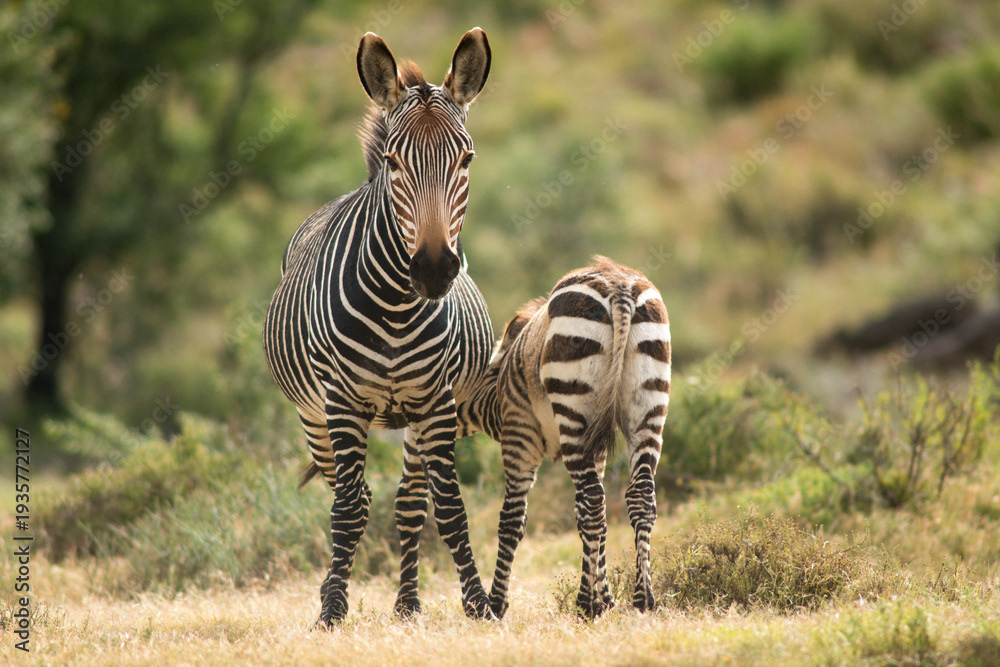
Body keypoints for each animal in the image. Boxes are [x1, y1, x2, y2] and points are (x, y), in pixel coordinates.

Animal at [262, 28, 495, 626]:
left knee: (409, 502)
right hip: (313, 415)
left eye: (467, 158)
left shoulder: (437, 401)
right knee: (351, 498)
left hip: (414, 418)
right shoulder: (341, 402)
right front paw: (331, 612)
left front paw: (480, 605)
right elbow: (347, 511)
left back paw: (408, 604)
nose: (434, 270)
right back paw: (334, 590)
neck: (395, 306)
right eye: (394, 161)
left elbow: (449, 508)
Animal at [464, 256, 671, 619]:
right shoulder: (597, 451)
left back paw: (587, 605)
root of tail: (619, 286)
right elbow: (589, 519)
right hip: (648, 404)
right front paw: (606, 596)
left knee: (593, 498)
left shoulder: (519, 435)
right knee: (637, 496)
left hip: (573, 404)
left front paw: (497, 604)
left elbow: (511, 521)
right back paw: (642, 598)